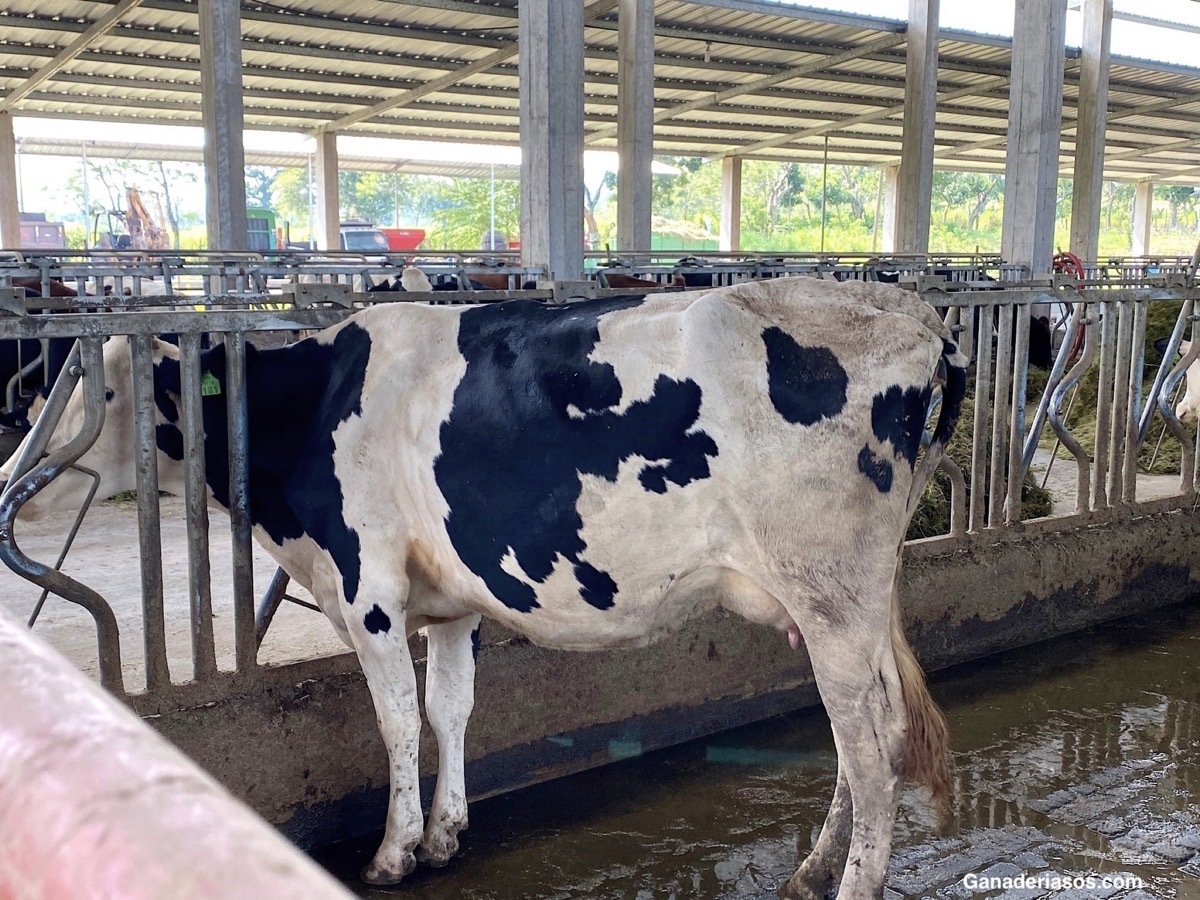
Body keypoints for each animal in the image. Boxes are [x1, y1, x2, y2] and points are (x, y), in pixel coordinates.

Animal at [0, 278, 964, 897]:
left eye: (103, 394)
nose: (16, 481)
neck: (312, 412)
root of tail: (911, 310)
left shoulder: (368, 591)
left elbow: (394, 718)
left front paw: (393, 853)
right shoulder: (452, 603)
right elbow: (449, 709)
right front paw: (446, 832)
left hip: (830, 592)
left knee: (869, 745)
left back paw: (851, 884)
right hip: (851, 603)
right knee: (863, 734)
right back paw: (814, 867)